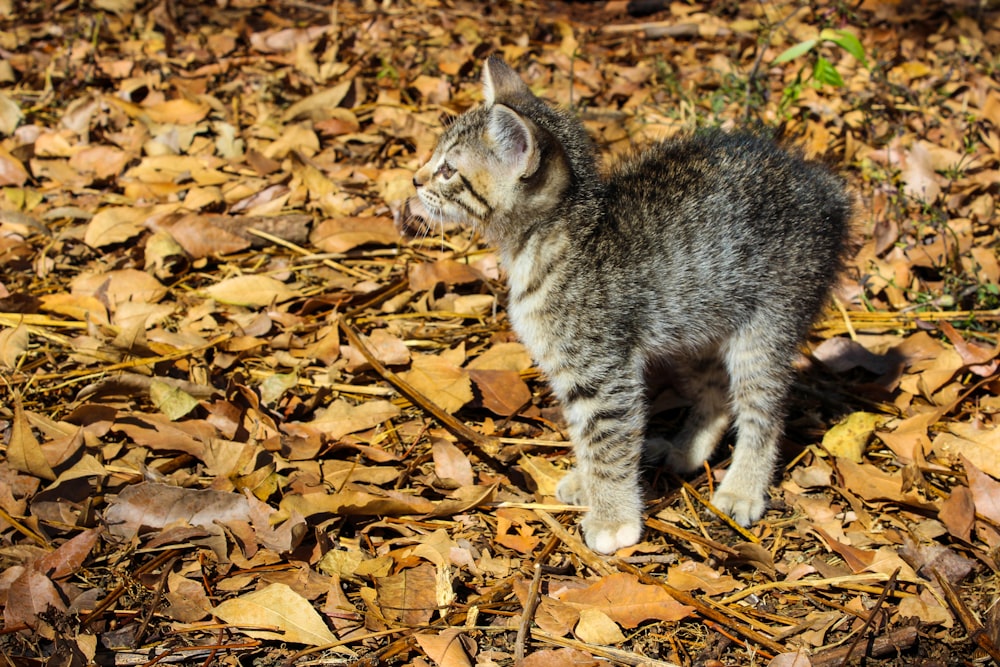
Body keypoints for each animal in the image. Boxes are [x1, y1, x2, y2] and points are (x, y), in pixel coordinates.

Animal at [408, 56, 852, 552]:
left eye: (448, 170)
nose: (415, 178)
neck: (558, 239)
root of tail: (825, 189)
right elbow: (586, 438)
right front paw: (587, 484)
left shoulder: (601, 373)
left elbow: (607, 442)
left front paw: (612, 518)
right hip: (694, 323)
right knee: (716, 392)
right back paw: (686, 450)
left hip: (768, 324)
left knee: (764, 411)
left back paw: (743, 487)